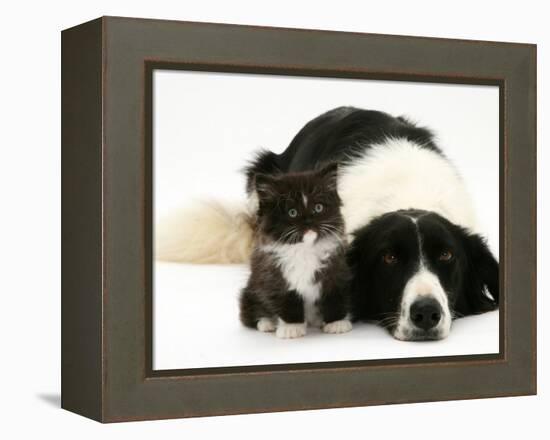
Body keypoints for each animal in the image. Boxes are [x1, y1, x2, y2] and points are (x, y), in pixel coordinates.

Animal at [238, 163, 352, 338]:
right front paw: (292, 327)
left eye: (318, 208)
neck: (304, 249)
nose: (309, 221)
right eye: (293, 213)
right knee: (250, 313)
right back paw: (267, 323)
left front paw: (336, 323)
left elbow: (334, 296)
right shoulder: (274, 276)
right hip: (251, 290)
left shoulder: (335, 269)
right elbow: (287, 300)